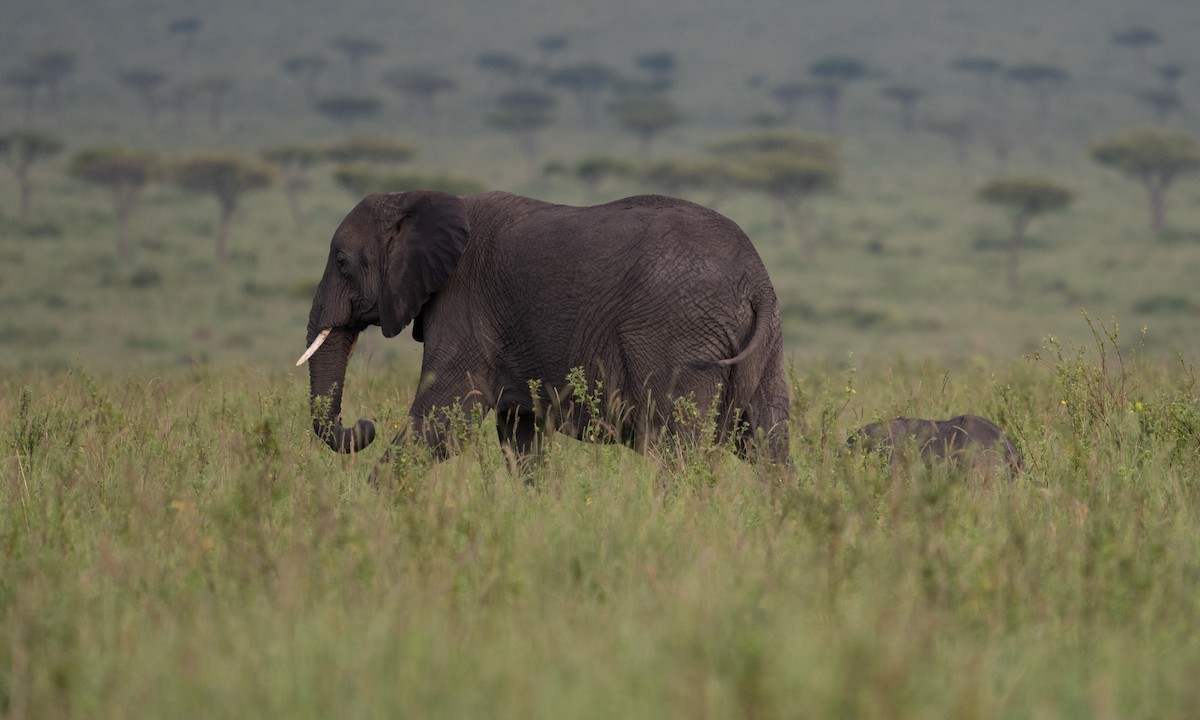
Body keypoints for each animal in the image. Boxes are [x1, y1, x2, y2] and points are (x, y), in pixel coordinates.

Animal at [296, 190, 791, 475]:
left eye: (342, 262)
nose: (365, 424)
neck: (418, 198)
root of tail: (755, 281)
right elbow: (517, 436)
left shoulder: (465, 303)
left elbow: (445, 417)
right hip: (764, 342)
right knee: (768, 440)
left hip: (679, 335)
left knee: (678, 444)